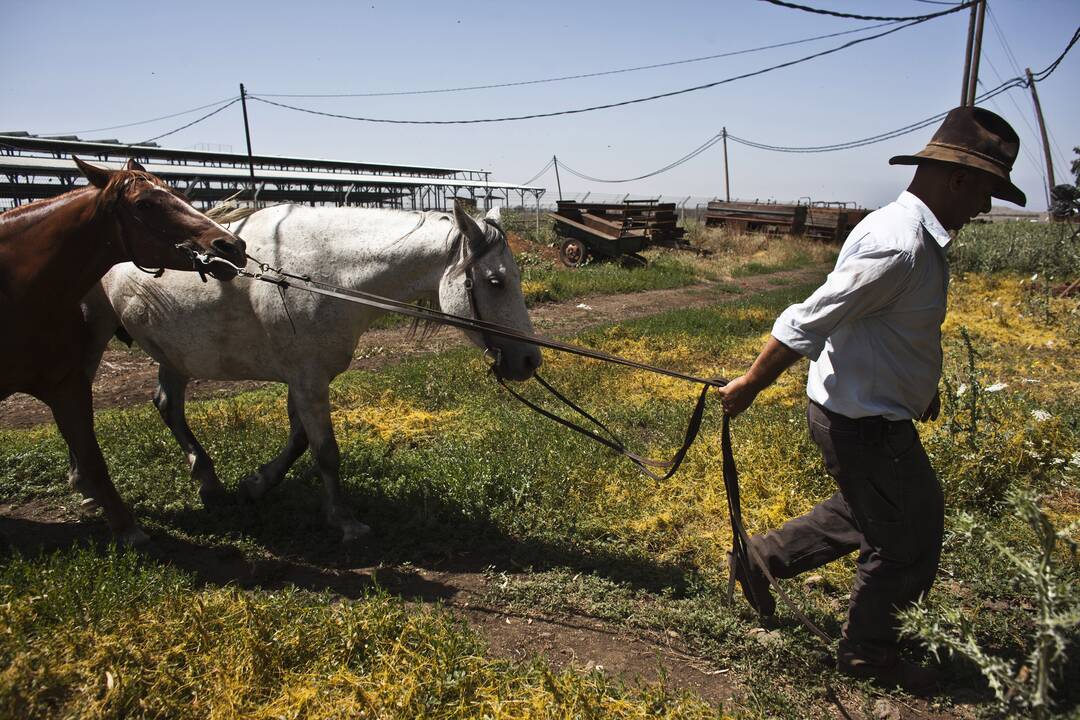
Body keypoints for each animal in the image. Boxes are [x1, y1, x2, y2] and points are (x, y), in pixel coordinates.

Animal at [0, 155, 247, 544]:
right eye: (144, 204)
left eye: (181, 195)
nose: (231, 246)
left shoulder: (65, 381)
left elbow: (90, 447)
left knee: (165, 402)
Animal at [78, 202, 540, 539]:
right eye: (496, 282)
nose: (530, 361)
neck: (321, 275)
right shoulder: (308, 380)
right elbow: (326, 451)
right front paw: (344, 521)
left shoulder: (303, 378)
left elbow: (300, 441)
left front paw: (257, 484)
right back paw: (89, 486)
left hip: (175, 353)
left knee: (167, 406)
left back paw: (206, 481)